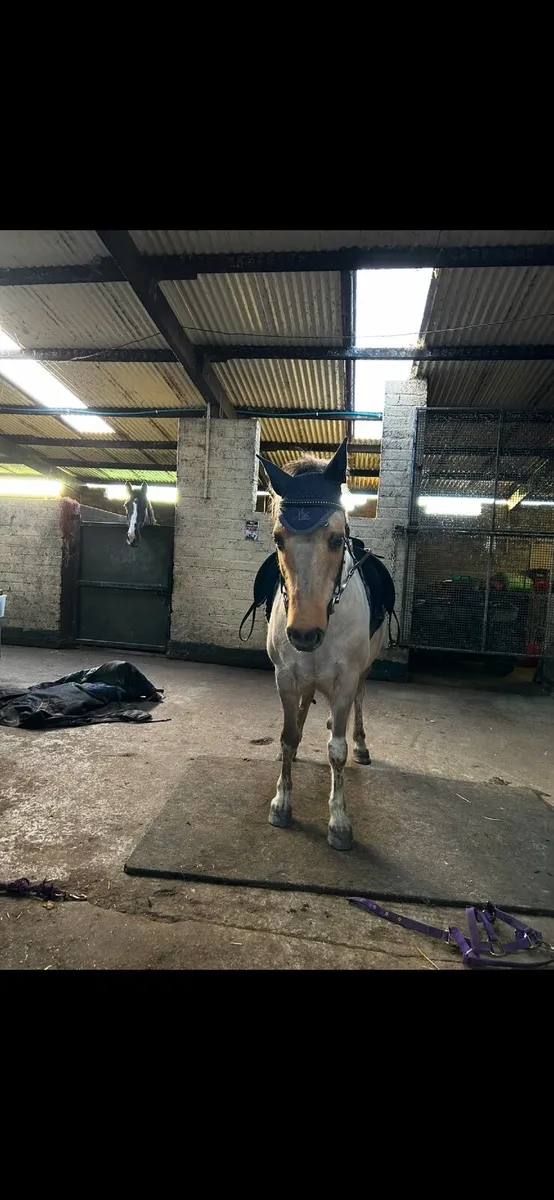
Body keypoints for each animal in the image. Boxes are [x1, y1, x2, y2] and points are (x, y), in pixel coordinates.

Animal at [260, 438, 387, 851]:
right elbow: (287, 737)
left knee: (357, 706)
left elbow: (337, 752)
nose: (304, 634)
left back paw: (360, 743)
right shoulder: (285, 677)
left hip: (363, 672)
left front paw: (339, 823)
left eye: (334, 539)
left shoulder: (345, 680)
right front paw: (281, 804)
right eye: (278, 539)